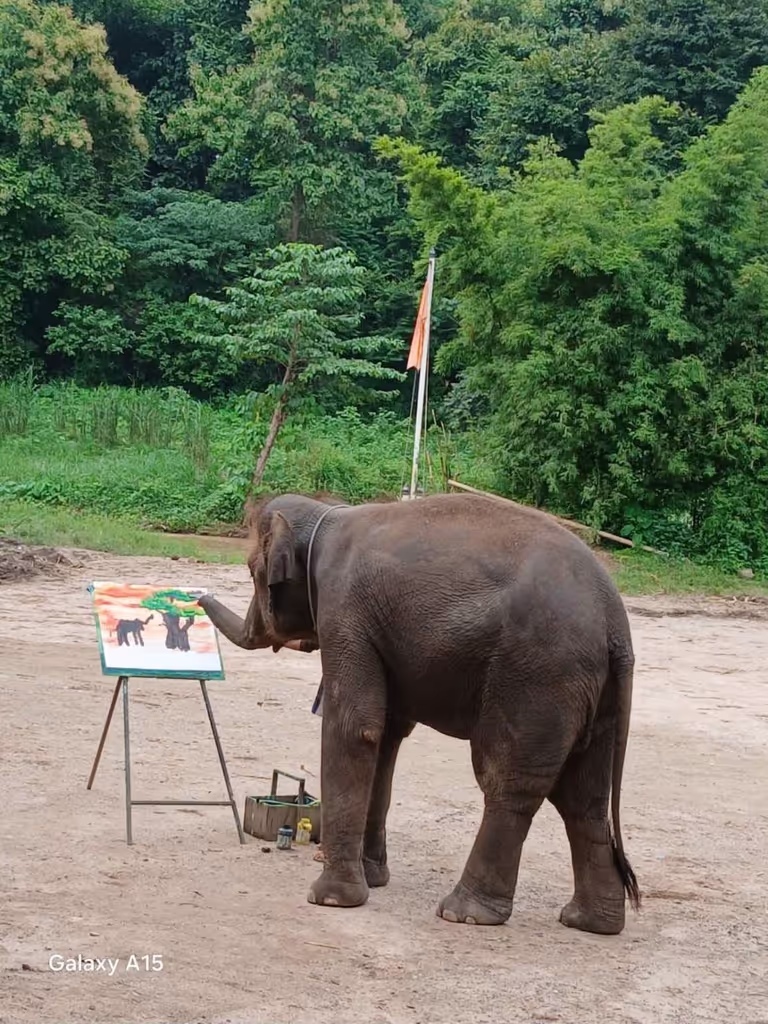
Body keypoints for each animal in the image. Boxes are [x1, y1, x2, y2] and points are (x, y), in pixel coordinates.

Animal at [200, 492, 640, 934]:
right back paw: (589, 922)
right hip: (592, 693)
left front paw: (331, 898)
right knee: (584, 798)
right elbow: (387, 734)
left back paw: (464, 913)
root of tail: (615, 622)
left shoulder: (344, 611)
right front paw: (373, 879)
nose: (198, 597)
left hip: (537, 675)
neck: (328, 514)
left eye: (251, 569)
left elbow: (354, 727)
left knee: (508, 781)